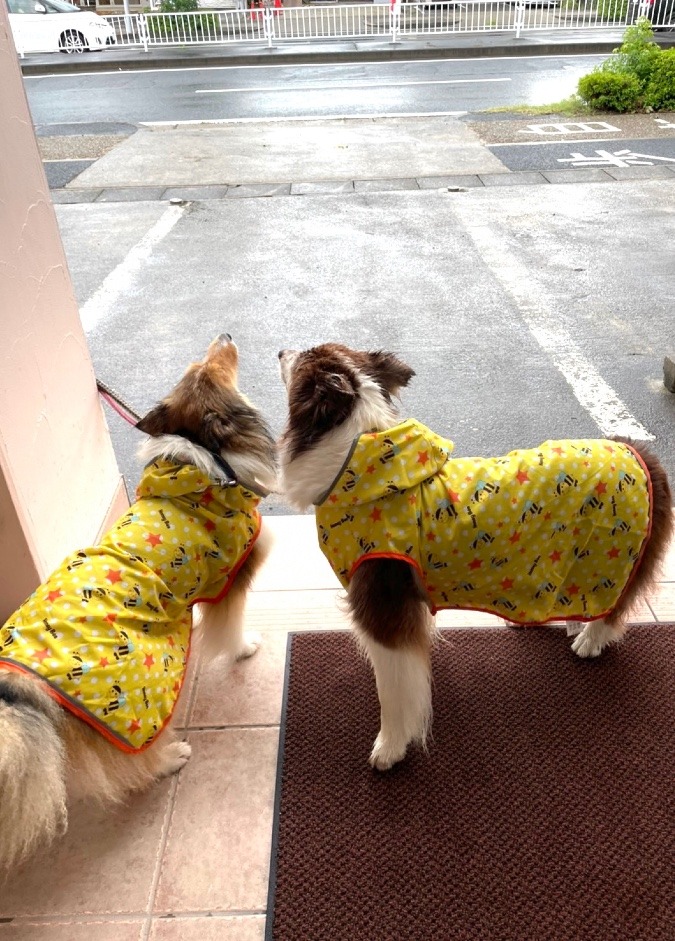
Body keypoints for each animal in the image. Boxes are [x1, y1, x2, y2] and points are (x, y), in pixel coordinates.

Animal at [0, 334, 278, 872]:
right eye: (209, 367)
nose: (227, 335)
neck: (206, 457)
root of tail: (23, 683)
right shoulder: (231, 580)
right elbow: (231, 627)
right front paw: (245, 648)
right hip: (142, 691)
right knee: (130, 763)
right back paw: (171, 758)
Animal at [278, 346, 672, 772]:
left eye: (301, 358)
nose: (280, 351)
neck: (360, 464)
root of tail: (644, 455)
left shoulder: (383, 607)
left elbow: (394, 692)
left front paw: (390, 746)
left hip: (612, 555)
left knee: (616, 607)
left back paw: (590, 638)